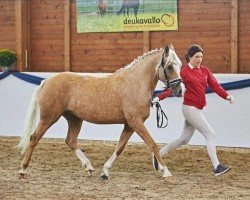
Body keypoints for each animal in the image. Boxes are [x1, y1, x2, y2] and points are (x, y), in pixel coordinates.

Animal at [17, 44, 182, 182]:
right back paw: (23, 170)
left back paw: (88, 167)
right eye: (169, 66)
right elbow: (152, 144)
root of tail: (46, 81)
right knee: (34, 138)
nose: (179, 91)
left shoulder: (129, 124)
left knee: (71, 141)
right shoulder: (136, 122)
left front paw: (105, 172)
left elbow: (120, 147)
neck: (135, 84)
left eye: (179, 65)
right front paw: (166, 172)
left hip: (74, 119)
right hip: (49, 118)